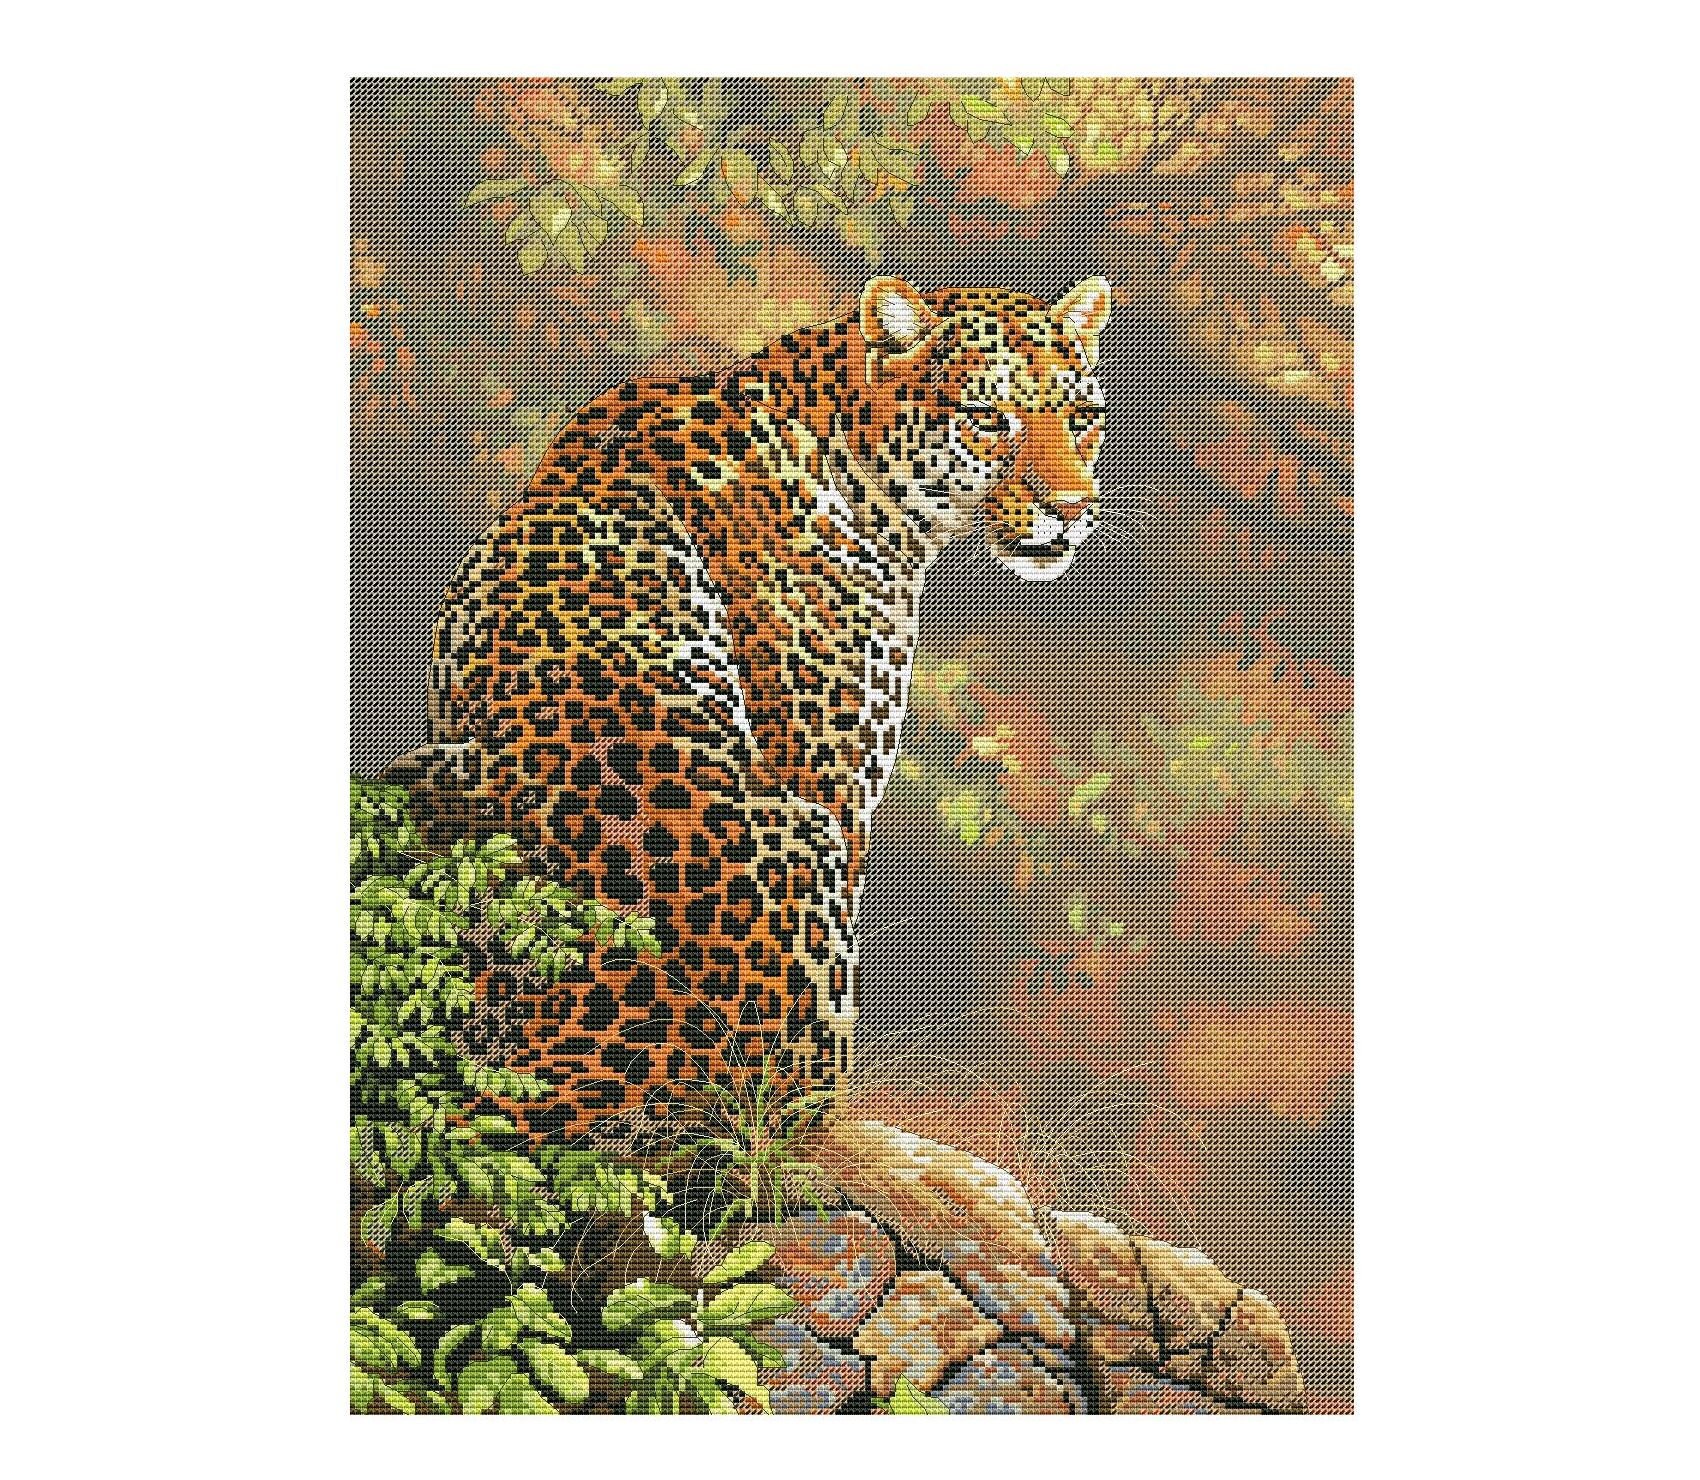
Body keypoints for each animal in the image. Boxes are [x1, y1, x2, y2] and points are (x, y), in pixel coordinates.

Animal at [383, 274, 1114, 1146]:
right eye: (987, 419)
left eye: (1082, 418)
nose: (1071, 507)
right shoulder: (833, 782)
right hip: (801, 855)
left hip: (420, 779)